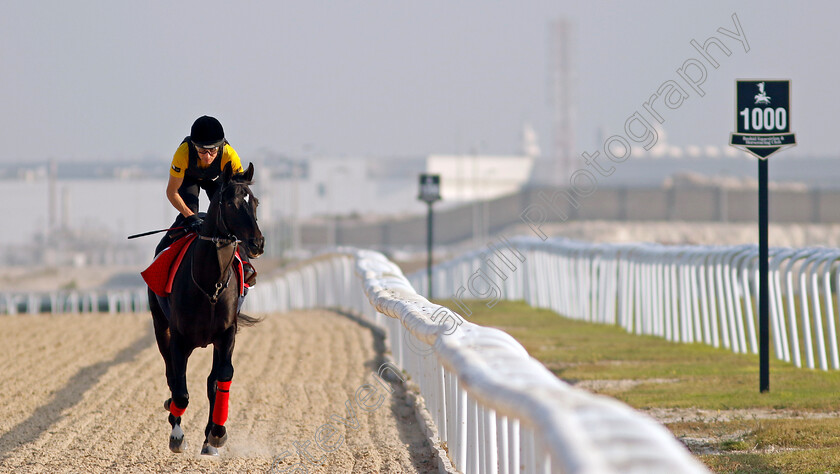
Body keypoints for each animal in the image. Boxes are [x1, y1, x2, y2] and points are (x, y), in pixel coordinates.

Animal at [148, 162, 264, 456]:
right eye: (231, 203)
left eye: (255, 202)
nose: (257, 243)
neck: (210, 284)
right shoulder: (178, 338)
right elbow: (179, 390)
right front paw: (177, 435)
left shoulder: (226, 334)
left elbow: (221, 378)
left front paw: (217, 433)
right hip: (160, 326)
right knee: (172, 377)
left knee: (211, 381)